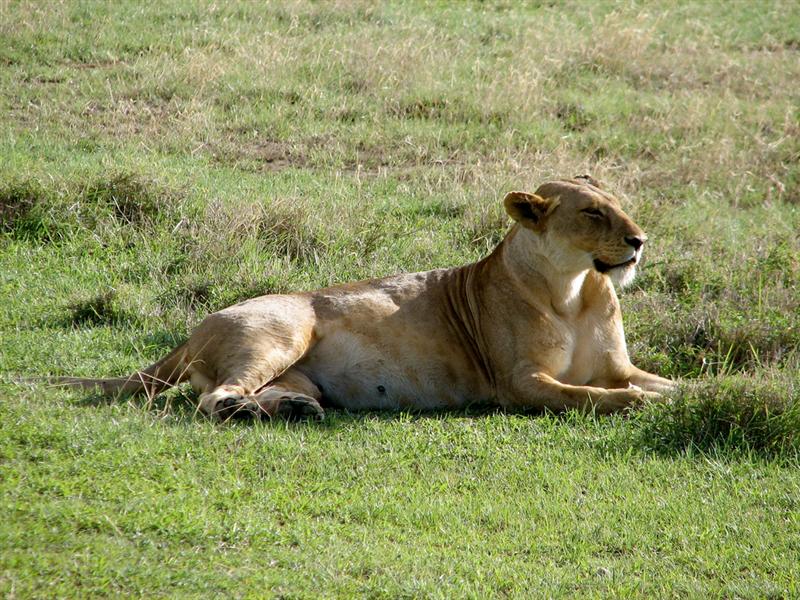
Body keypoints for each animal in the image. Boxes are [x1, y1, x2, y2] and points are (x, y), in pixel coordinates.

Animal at [51, 176, 675, 420]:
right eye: (592, 213)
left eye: (619, 204)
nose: (640, 241)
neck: (573, 290)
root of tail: (195, 328)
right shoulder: (519, 385)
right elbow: (589, 396)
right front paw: (639, 405)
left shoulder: (618, 365)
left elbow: (670, 384)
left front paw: (684, 395)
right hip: (283, 329)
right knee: (212, 399)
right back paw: (249, 412)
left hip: (295, 370)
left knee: (255, 392)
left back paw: (293, 409)